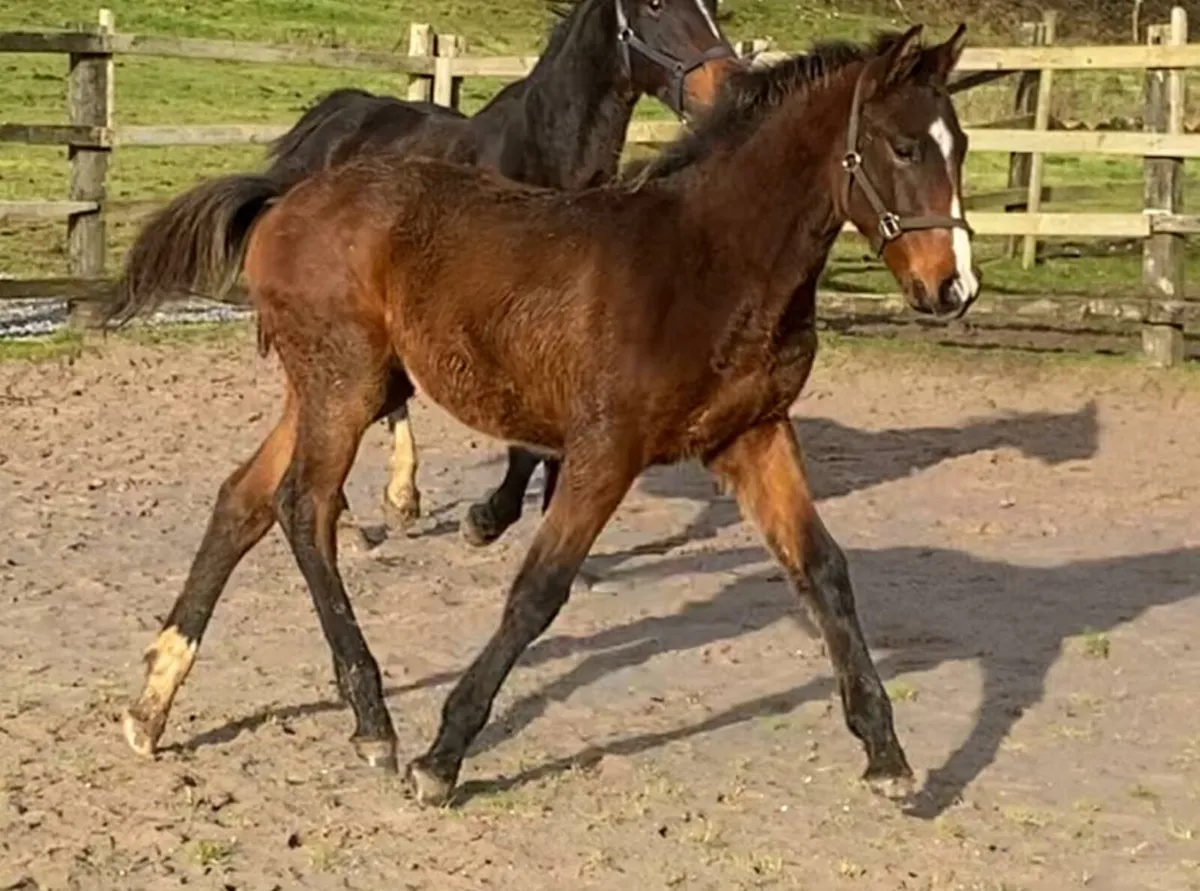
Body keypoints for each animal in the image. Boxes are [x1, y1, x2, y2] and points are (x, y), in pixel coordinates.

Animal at [107, 0, 739, 547]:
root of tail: (338, 115)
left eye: (713, 2)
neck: (540, 160)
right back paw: (359, 517)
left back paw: (399, 501)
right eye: (654, 4)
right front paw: (487, 519)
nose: (726, 84)